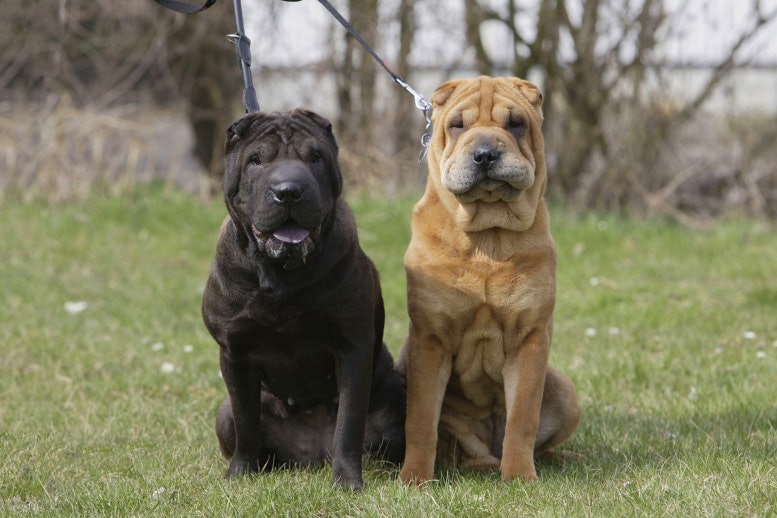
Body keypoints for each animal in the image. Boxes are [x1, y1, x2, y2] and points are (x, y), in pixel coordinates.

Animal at [200, 109, 406, 492]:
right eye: (256, 161)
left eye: (315, 157)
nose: (289, 191)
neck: (281, 274)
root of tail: (313, 456)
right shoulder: (234, 352)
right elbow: (246, 421)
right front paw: (239, 474)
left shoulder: (352, 347)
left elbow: (349, 423)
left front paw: (347, 482)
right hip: (223, 415)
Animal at [400, 77, 576, 488]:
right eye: (457, 125)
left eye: (516, 124)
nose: (484, 154)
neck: (487, 237)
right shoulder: (428, 339)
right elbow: (420, 420)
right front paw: (414, 479)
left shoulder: (530, 338)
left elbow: (523, 417)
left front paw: (521, 477)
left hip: (565, 390)